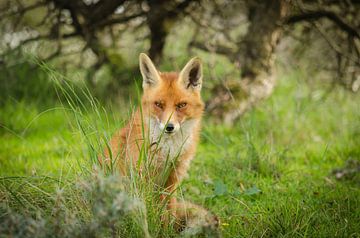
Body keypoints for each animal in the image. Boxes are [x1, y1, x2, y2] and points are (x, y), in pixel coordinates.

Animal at [102, 53, 218, 231]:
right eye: (158, 104)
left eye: (181, 105)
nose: (169, 127)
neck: (168, 150)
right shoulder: (142, 177)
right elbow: (145, 209)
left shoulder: (172, 178)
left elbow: (168, 211)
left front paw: (166, 230)